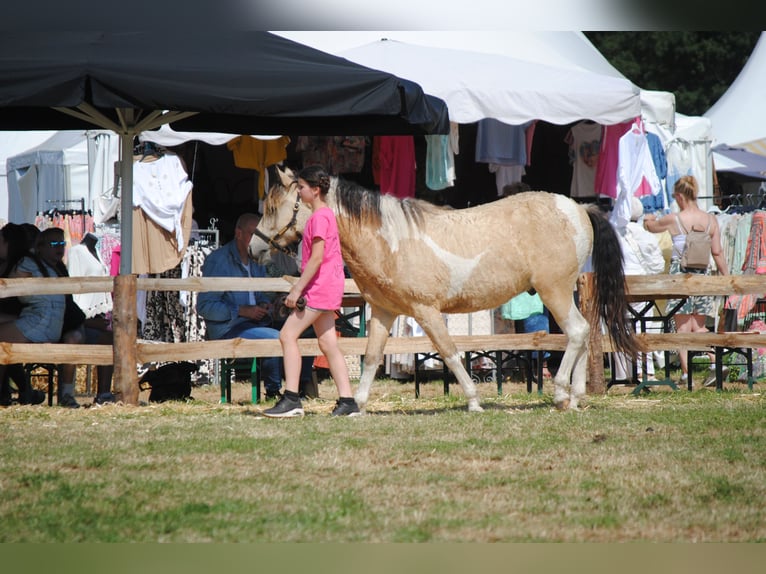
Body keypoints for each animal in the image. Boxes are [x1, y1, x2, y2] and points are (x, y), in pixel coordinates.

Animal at [251, 167, 639, 412]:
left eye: (272, 207)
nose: (254, 248)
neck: (391, 240)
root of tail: (577, 207)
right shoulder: (384, 312)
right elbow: (372, 357)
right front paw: (356, 404)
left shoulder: (426, 311)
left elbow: (450, 353)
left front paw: (473, 401)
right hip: (564, 292)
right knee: (584, 333)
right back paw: (575, 397)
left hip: (553, 291)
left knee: (576, 332)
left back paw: (560, 395)